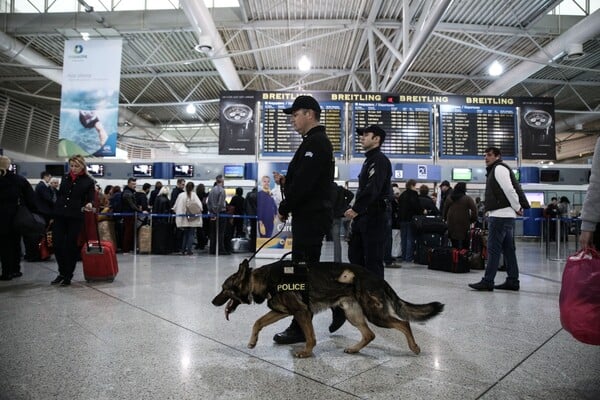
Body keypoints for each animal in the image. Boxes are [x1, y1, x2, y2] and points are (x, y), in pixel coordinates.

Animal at [211, 260, 440, 360]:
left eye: (224, 289)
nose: (212, 302)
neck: (264, 279)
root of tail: (378, 278)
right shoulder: (283, 312)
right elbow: (258, 322)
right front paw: (252, 341)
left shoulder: (302, 313)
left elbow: (310, 337)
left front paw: (306, 352)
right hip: (352, 314)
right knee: (370, 334)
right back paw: (355, 349)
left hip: (375, 314)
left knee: (403, 323)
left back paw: (414, 347)